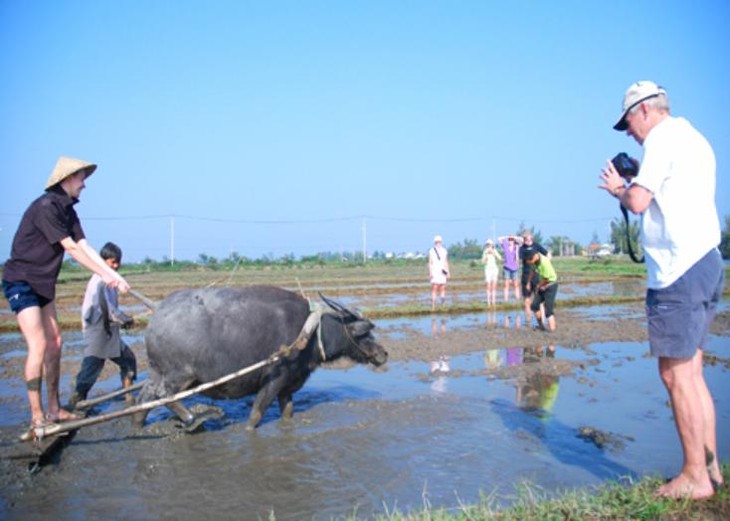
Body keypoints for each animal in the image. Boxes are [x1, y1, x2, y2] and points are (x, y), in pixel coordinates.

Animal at [134, 286, 390, 428]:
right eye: (363, 333)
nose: (383, 353)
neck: (309, 332)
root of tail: (157, 310)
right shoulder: (272, 381)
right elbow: (255, 416)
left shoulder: (287, 386)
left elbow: (288, 413)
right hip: (180, 375)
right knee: (164, 396)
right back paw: (192, 419)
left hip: (157, 371)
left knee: (145, 397)